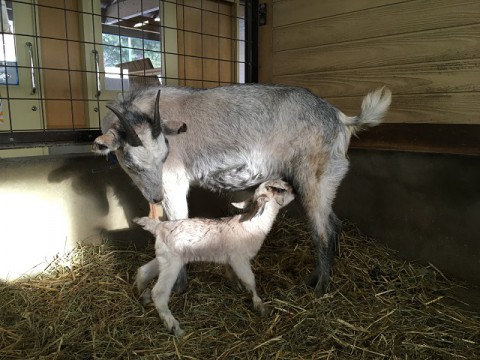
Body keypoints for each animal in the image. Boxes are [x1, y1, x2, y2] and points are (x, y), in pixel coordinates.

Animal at [92, 83, 392, 296]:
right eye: (131, 162)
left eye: (165, 155)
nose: (155, 196)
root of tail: (342, 119)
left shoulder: (174, 182)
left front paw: (177, 288)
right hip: (323, 183)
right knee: (335, 222)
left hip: (313, 179)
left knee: (323, 231)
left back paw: (319, 289)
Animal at [133, 179, 294, 336]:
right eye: (280, 189)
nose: (293, 189)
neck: (253, 224)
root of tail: (158, 227)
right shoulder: (239, 259)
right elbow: (250, 281)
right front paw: (260, 305)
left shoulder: (230, 259)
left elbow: (231, 273)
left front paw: (236, 286)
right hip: (172, 263)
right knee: (159, 293)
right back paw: (174, 327)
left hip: (165, 258)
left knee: (143, 271)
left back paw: (143, 296)